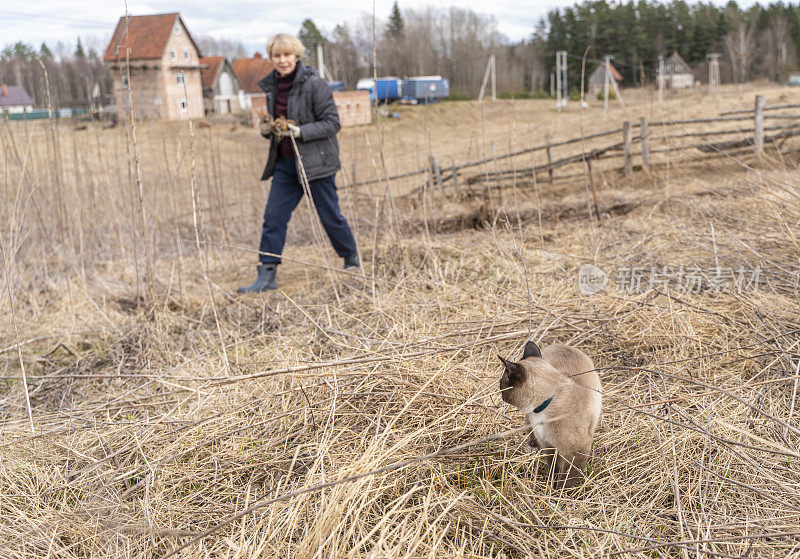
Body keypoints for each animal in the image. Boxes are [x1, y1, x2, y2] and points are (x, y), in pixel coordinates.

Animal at [496, 340, 604, 488]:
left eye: (502, 383)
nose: (500, 391)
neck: (544, 406)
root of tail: (561, 344)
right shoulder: (549, 445)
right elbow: (554, 468)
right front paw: (551, 485)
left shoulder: (576, 451)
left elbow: (569, 478)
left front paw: (561, 492)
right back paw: (533, 447)